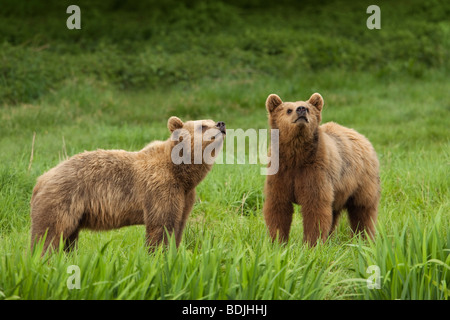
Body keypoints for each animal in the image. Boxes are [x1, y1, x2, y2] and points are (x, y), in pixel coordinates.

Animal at [30, 116, 227, 254]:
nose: (221, 124)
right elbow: (161, 226)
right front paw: (158, 256)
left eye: (211, 121)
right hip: (63, 199)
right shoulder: (160, 188)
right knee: (48, 235)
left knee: (68, 239)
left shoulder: (185, 195)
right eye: (202, 125)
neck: (181, 173)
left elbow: (178, 226)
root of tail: (41, 179)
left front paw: (173, 254)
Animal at [262, 92, 382, 245]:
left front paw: (312, 243)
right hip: (339, 190)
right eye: (288, 110)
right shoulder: (280, 172)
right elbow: (278, 207)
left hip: (362, 181)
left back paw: (364, 239)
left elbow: (315, 208)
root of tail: (361, 136)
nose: (301, 109)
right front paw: (277, 241)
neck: (296, 157)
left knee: (363, 210)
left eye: (308, 108)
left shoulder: (315, 171)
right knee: (334, 212)